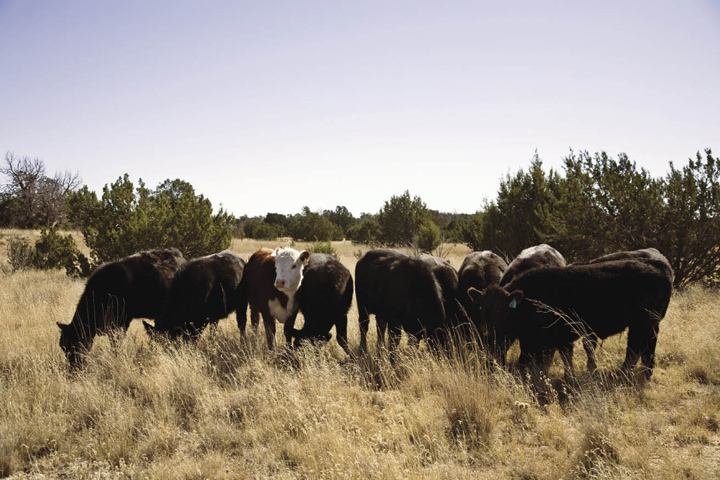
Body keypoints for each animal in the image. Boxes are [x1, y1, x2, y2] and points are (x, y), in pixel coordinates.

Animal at [466, 258, 676, 378]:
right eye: (482, 307)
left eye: (502, 310)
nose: (487, 331)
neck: (528, 300)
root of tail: (661, 270)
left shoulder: (553, 339)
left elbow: (553, 359)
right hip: (643, 325)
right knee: (640, 348)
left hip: (645, 324)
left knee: (640, 348)